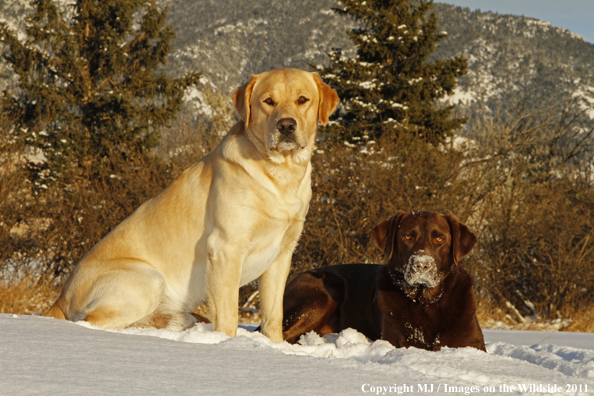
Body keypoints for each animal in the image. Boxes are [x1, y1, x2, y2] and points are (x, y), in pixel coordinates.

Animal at [280, 212, 484, 352]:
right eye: (407, 237)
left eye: (440, 238)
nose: (421, 265)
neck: (426, 303)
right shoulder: (397, 341)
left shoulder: (472, 344)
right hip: (325, 293)